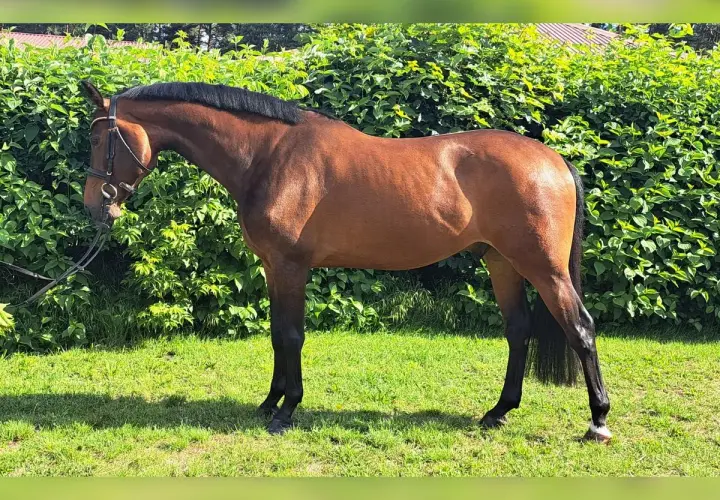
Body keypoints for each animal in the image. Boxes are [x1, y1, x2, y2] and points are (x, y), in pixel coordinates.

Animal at [79, 80, 611, 442]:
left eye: (99, 140)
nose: (93, 206)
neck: (269, 155)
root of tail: (555, 160)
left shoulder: (291, 266)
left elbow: (292, 335)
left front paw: (286, 411)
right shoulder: (273, 267)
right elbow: (277, 335)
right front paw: (269, 401)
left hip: (543, 268)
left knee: (580, 329)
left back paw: (598, 421)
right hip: (501, 263)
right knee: (518, 331)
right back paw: (497, 412)